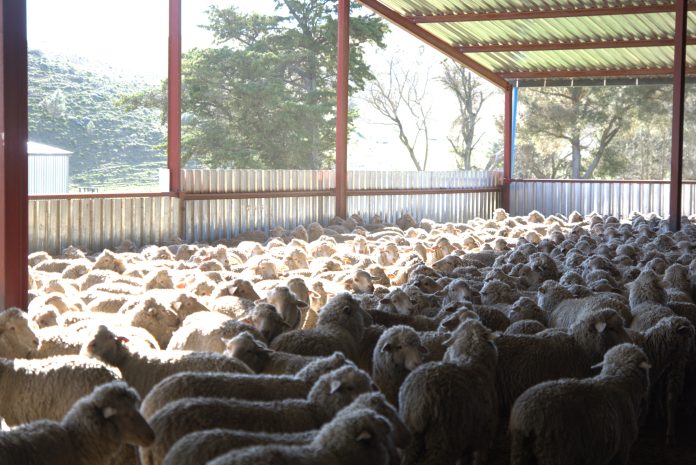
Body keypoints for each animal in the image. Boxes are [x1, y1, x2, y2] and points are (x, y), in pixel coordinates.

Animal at [399, 320, 499, 465]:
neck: (471, 357)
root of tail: (421, 397)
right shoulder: (485, 433)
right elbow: (479, 458)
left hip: (410, 435)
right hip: (443, 438)